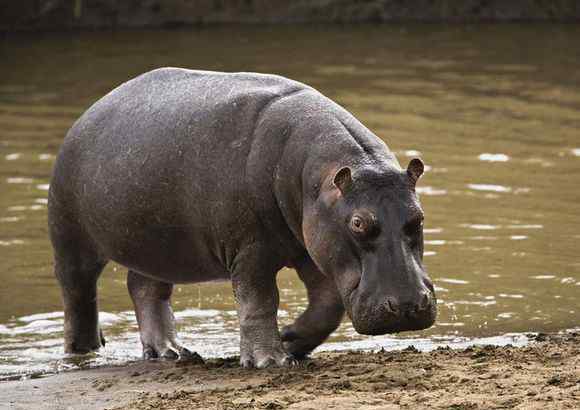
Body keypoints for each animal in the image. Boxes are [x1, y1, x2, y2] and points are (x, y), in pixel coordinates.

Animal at [48, 67, 436, 368]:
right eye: (358, 223)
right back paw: (83, 353)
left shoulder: (312, 246)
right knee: (78, 297)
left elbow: (327, 306)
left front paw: (290, 339)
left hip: (156, 245)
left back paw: (172, 353)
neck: (319, 179)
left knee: (145, 288)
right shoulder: (250, 250)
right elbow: (259, 301)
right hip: (70, 237)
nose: (406, 305)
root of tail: (90, 111)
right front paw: (270, 361)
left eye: (418, 217)